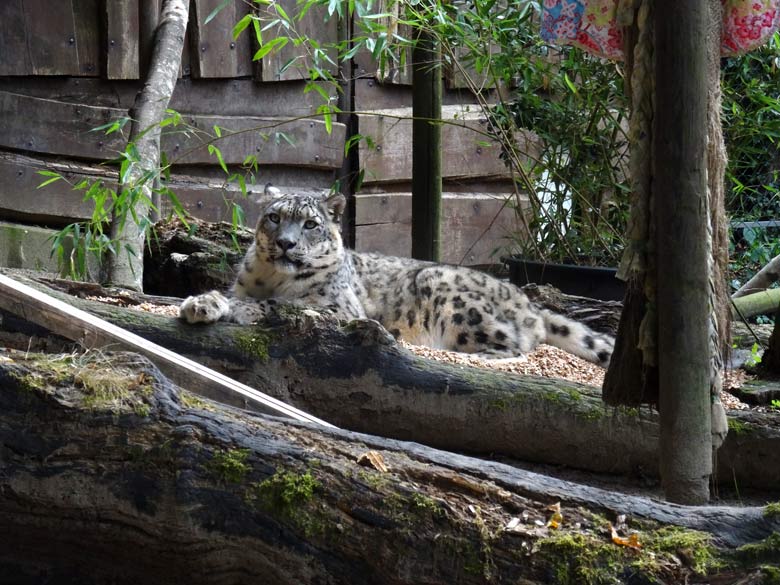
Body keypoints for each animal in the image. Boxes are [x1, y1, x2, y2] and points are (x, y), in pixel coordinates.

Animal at [180, 187, 612, 362]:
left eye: (310, 224)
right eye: (274, 217)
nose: (286, 243)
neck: (273, 277)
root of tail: (525, 300)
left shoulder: (339, 309)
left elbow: (279, 305)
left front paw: (244, 310)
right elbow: (230, 296)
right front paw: (201, 304)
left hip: (452, 298)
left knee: (517, 345)